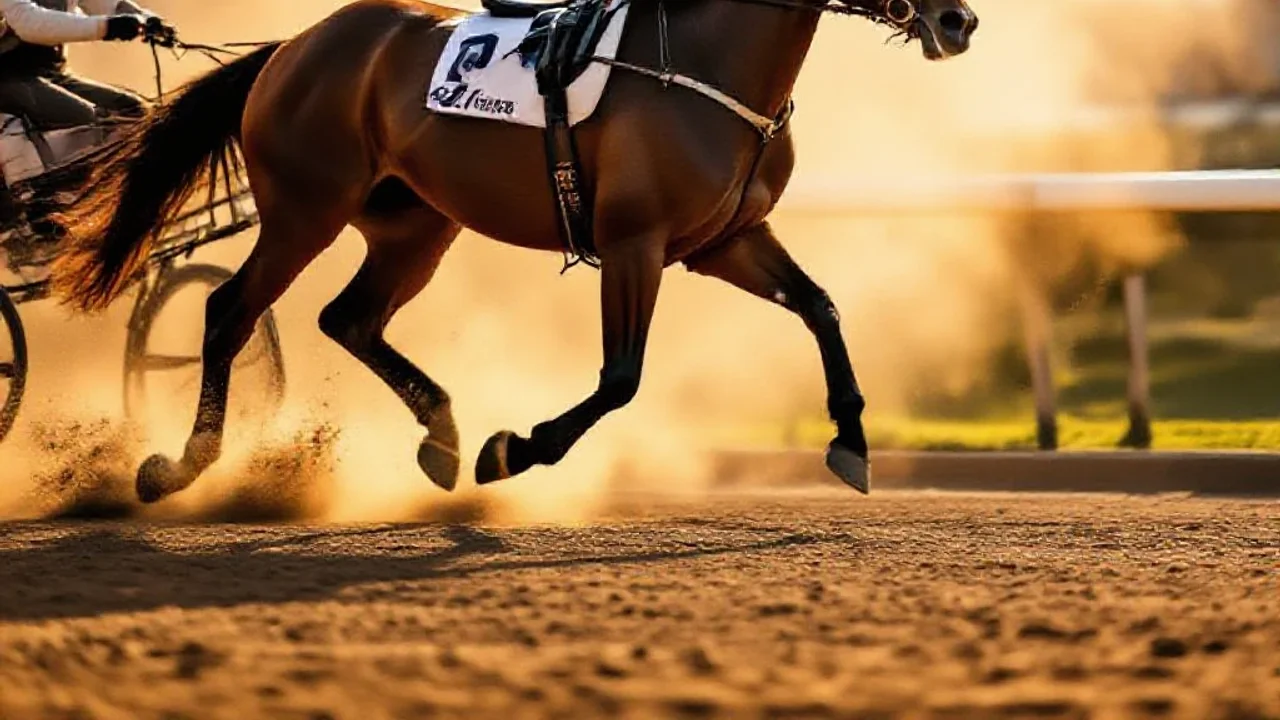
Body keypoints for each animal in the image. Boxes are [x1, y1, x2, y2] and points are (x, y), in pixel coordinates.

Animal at [52, 0, 978, 503]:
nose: (959, 20)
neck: (705, 63)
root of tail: (293, 46)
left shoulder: (726, 241)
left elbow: (820, 306)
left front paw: (851, 441)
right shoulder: (634, 244)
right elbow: (621, 378)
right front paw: (518, 448)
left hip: (416, 225)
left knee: (349, 318)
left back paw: (440, 434)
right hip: (304, 211)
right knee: (229, 311)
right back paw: (181, 465)